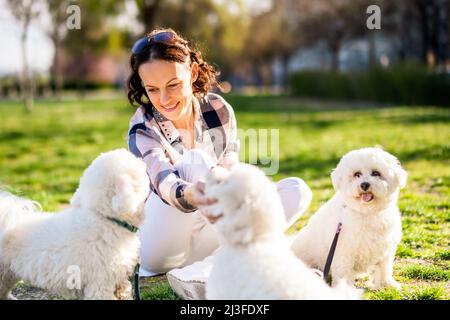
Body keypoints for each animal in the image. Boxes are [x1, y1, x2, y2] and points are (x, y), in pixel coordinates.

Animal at [0, 150, 151, 300]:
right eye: (138, 167)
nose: (143, 162)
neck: (105, 218)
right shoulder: (100, 283)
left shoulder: (119, 279)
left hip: (9, 273)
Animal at [290, 148, 406, 290]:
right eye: (357, 174)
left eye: (376, 173)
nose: (364, 184)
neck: (366, 212)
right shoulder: (343, 251)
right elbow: (343, 272)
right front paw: (345, 289)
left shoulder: (386, 249)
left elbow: (384, 268)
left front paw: (386, 284)